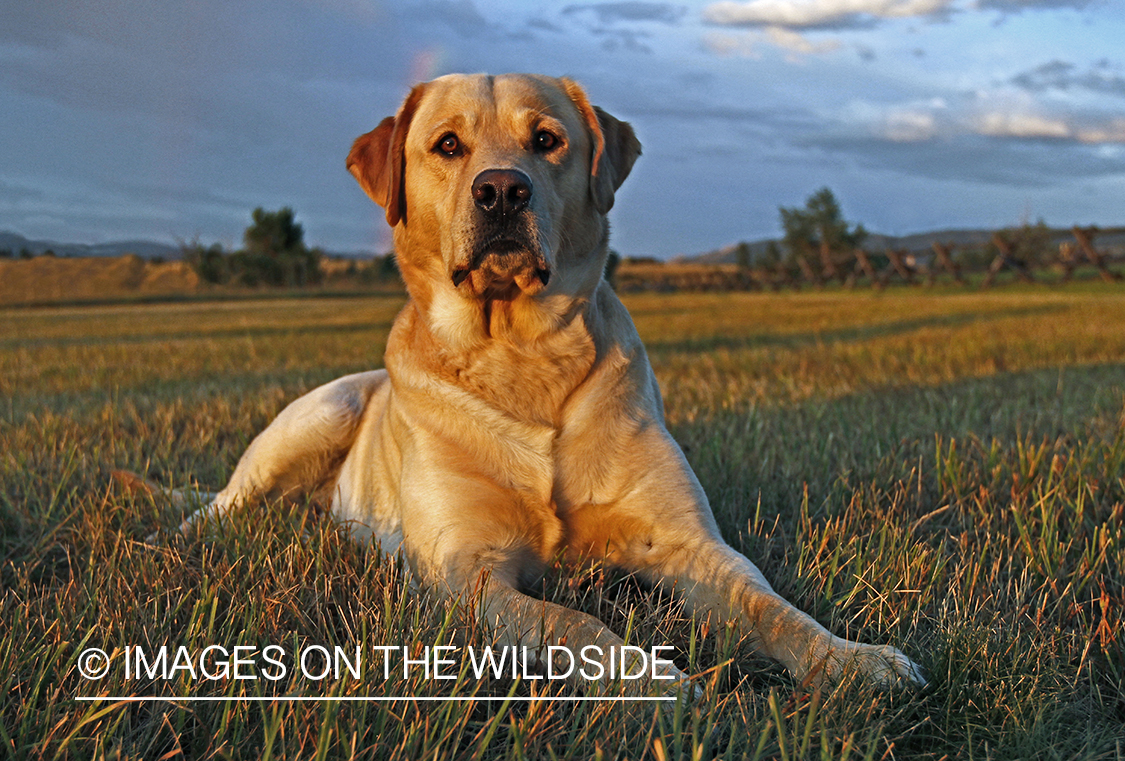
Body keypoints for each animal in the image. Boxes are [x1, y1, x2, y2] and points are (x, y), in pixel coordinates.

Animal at [127, 75, 918, 693]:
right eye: (447, 146)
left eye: (546, 140)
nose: (503, 190)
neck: (518, 353)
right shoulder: (467, 571)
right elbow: (570, 621)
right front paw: (651, 681)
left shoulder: (689, 544)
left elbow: (770, 606)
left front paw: (853, 659)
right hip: (323, 410)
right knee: (219, 507)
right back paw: (161, 542)